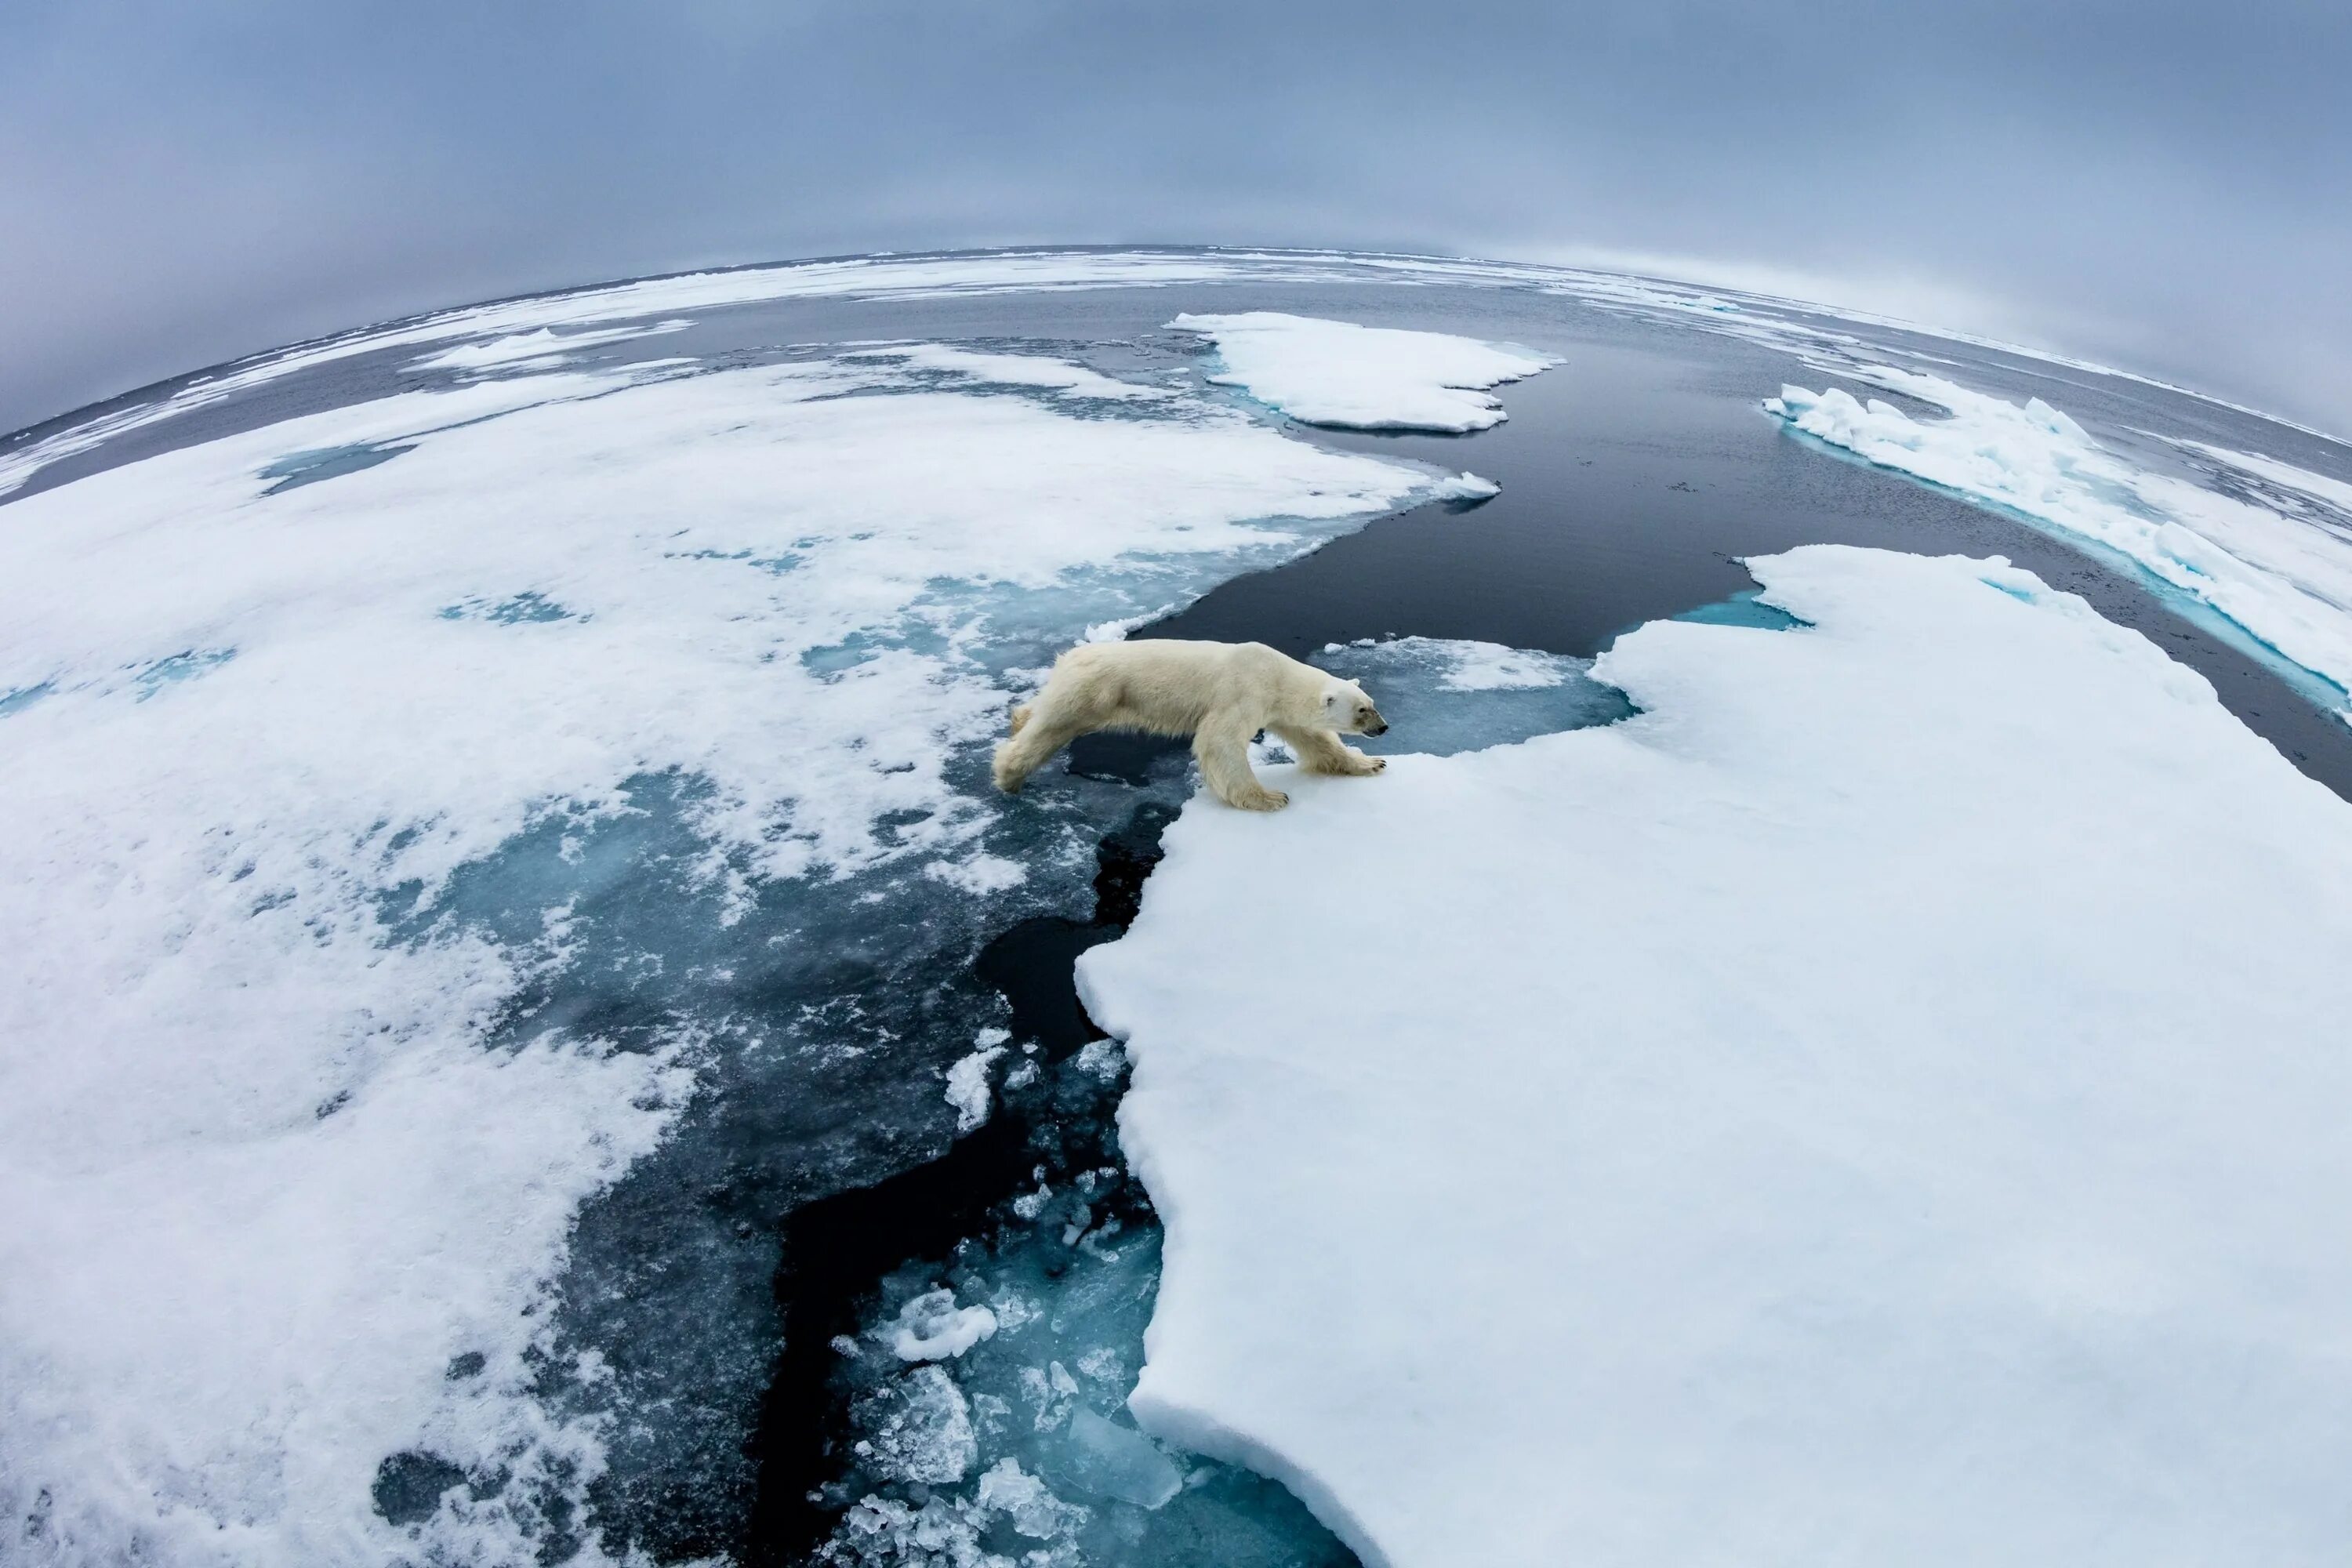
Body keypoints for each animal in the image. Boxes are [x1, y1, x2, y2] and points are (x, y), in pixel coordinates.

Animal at [997, 639, 1392, 808]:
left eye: (1372, 704)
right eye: (1362, 710)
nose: (1384, 728)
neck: (1277, 675)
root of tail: (1068, 657)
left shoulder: (1278, 708)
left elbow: (1315, 739)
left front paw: (1372, 763)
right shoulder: (1243, 691)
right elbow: (1219, 741)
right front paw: (1270, 797)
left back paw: (1018, 719)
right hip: (1095, 691)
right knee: (1053, 726)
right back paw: (1009, 775)